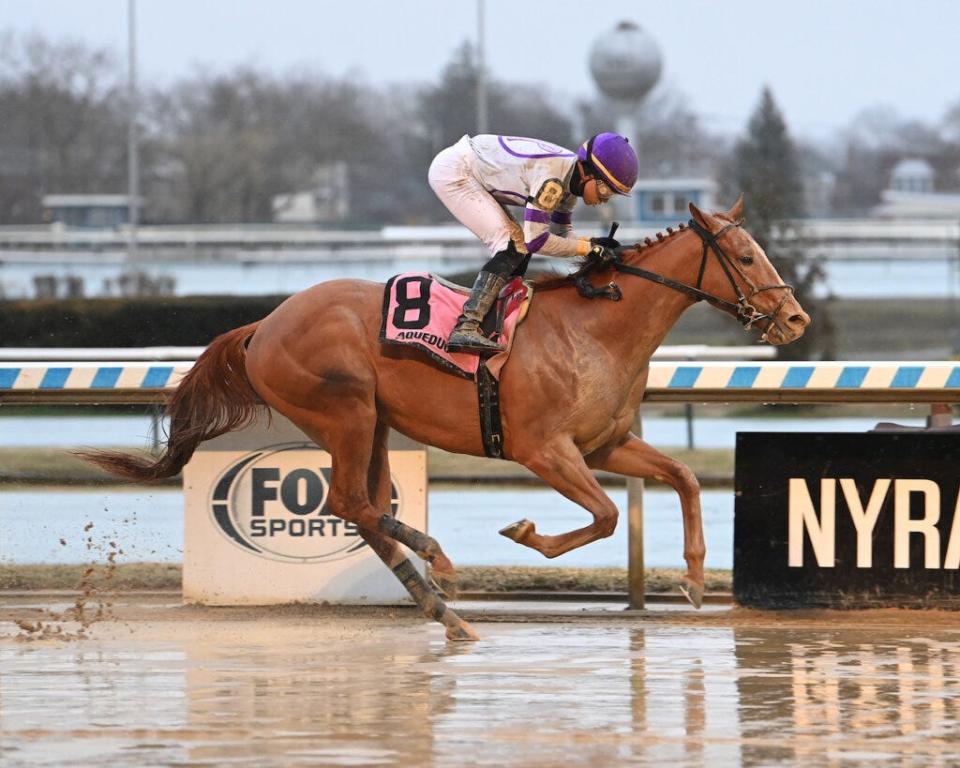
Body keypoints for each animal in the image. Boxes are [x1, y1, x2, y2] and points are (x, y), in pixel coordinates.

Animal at [82, 200, 808, 640]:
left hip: (370, 423)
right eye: (747, 257)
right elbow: (604, 516)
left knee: (364, 507)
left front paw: (694, 579)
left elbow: (683, 477)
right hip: (345, 410)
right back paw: (439, 565)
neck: (595, 328)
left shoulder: (605, 444)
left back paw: (441, 606)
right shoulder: (544, 450)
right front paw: (523, 531)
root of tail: (263, 324)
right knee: (350, 501)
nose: (796, 318)